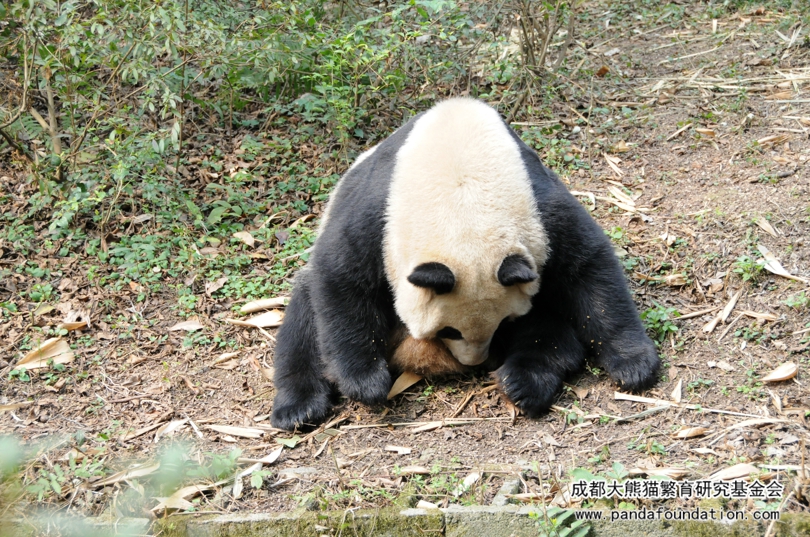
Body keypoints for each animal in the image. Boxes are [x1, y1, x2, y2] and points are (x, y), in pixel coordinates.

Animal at [270, 98, 660, 431]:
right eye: (449, 331)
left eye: (503, 323)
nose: (473, 362)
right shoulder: (380, 213)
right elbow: (342, 277)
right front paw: (365, 382)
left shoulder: (540, 212)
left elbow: (588, 268)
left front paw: (634, 365)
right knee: (303, 319)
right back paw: (298, 408)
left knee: (550, 332)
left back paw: (523, 383)